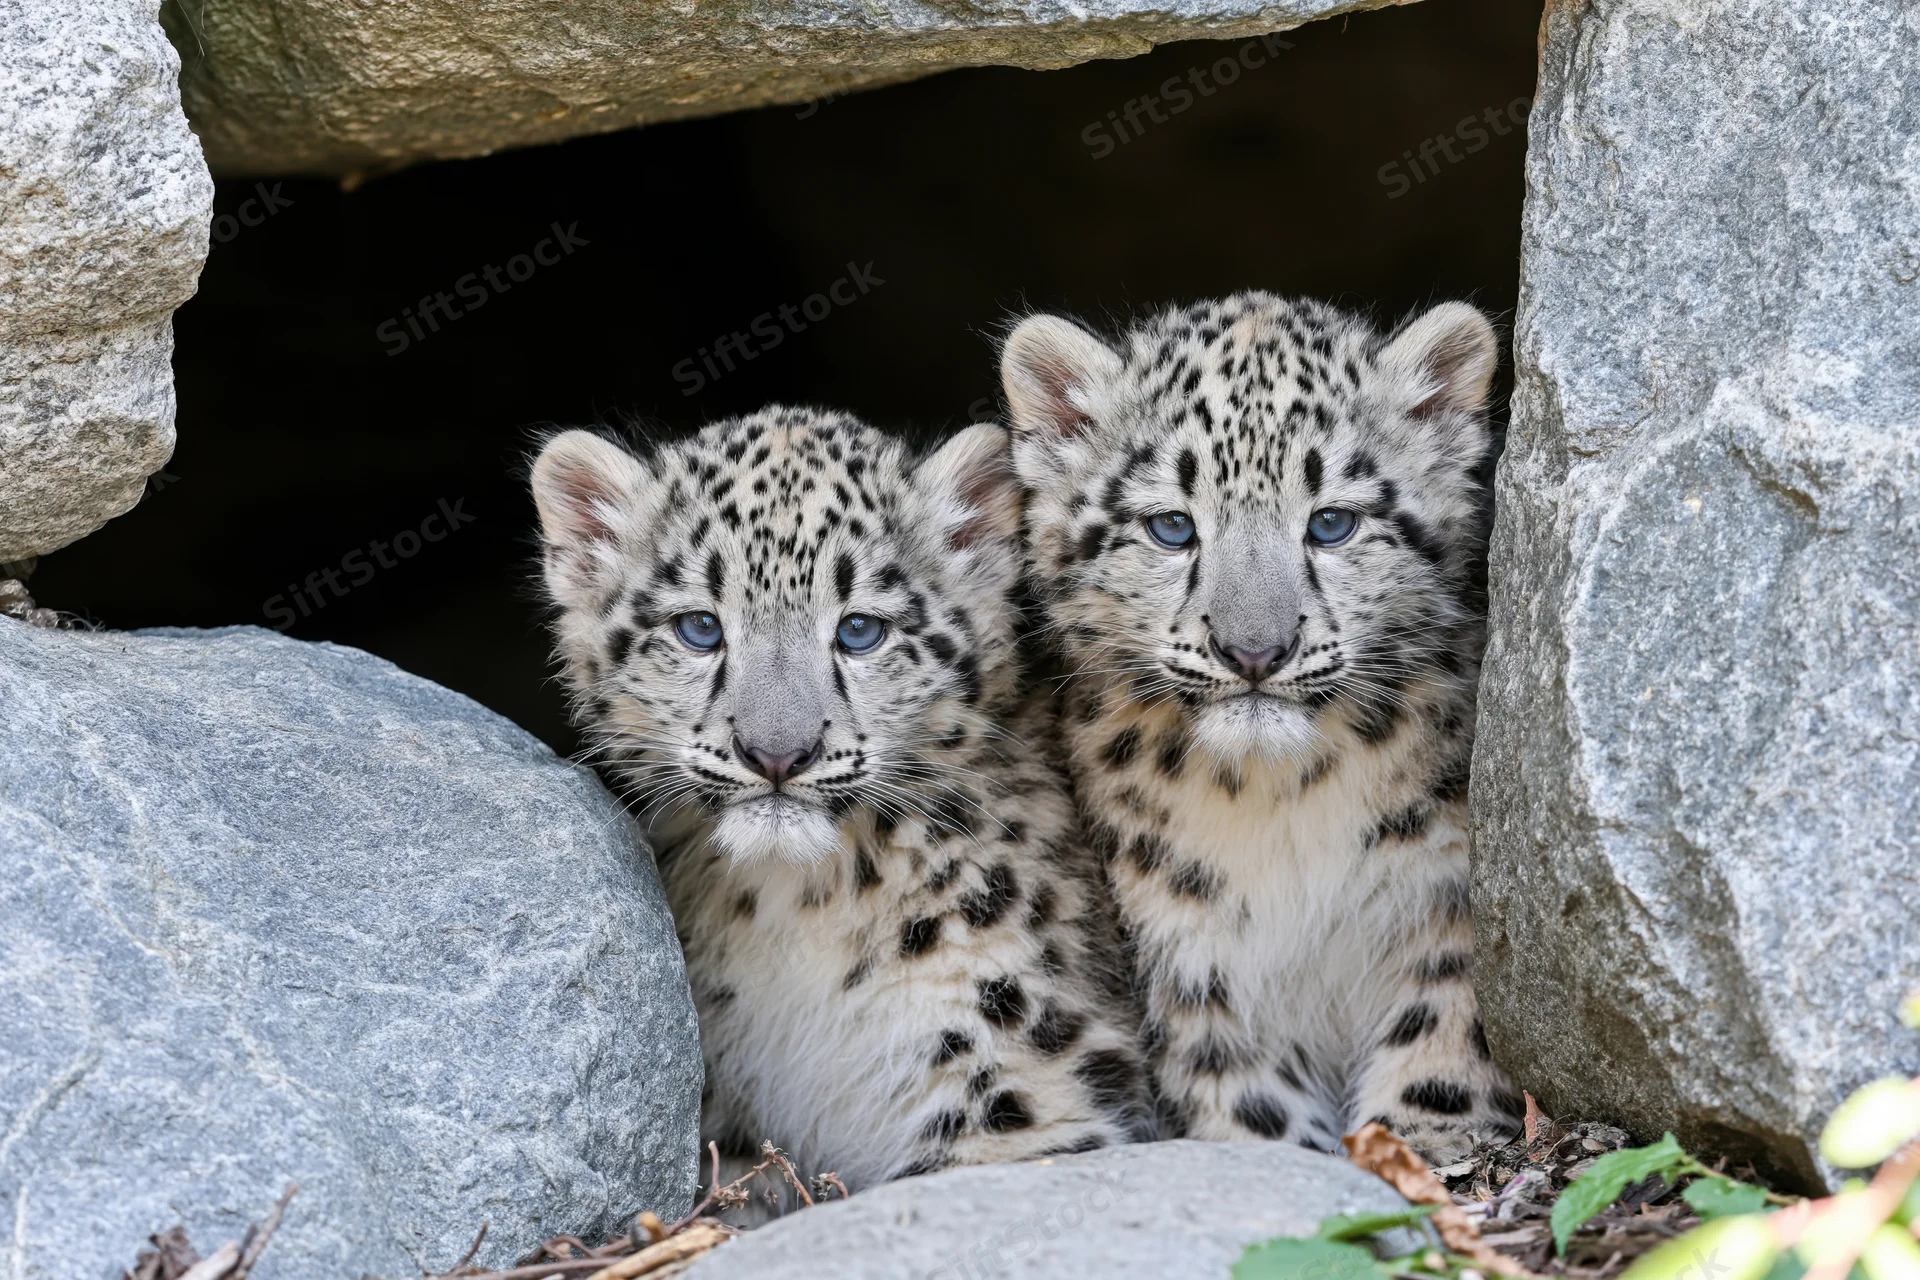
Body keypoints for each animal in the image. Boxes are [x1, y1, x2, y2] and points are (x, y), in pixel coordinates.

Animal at [998, 292, 1524, 1164]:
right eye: (1172, 527)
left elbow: (1446, 1033)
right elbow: (1249, 1107)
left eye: (1332, 522)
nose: (1253, 650)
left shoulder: (1443, 906)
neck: (1280, 805)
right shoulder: (1195, 959)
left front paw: (1426, 1134)